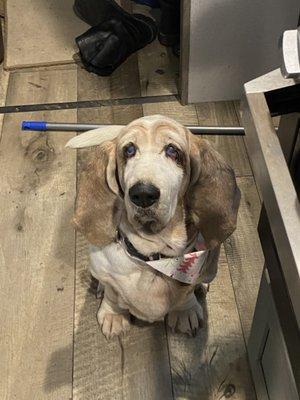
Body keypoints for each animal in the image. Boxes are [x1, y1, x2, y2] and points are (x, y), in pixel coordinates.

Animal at [67, 114, 240, 340]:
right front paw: (114, 314)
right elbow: (113, 294)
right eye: (129, 150)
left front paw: (185, 311)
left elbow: (187, 292)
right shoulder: (106, 272)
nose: (143, 194)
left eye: (172, 150)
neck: (153, 258)